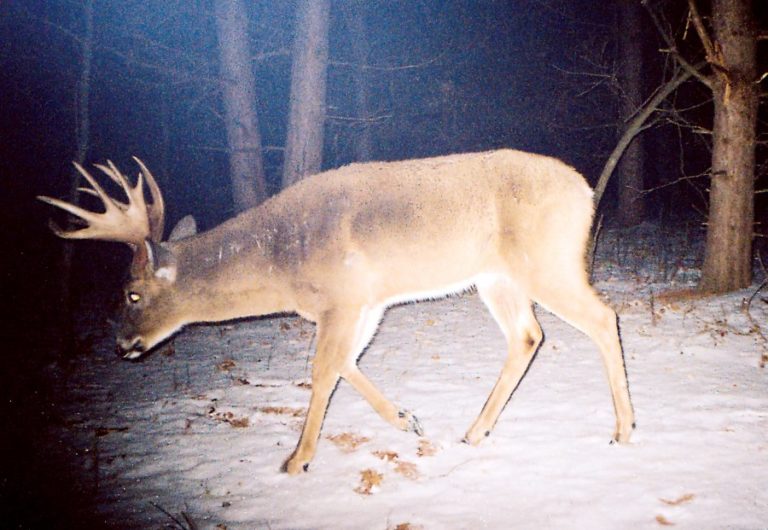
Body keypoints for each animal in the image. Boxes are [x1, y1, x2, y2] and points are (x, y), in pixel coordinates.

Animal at [39, 150, 635, 474]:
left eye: (132, 294)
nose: (122, 345)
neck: (283, 264)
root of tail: (586, 192)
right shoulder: (364, 301)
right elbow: (347, 363)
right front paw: (406, 419)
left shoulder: (342, 297)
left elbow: (323, 370)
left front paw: (296, 460)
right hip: (496, 276)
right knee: (528, 335)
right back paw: (474, 431)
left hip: (545, 261)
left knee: (603, 318)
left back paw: (624, 429)